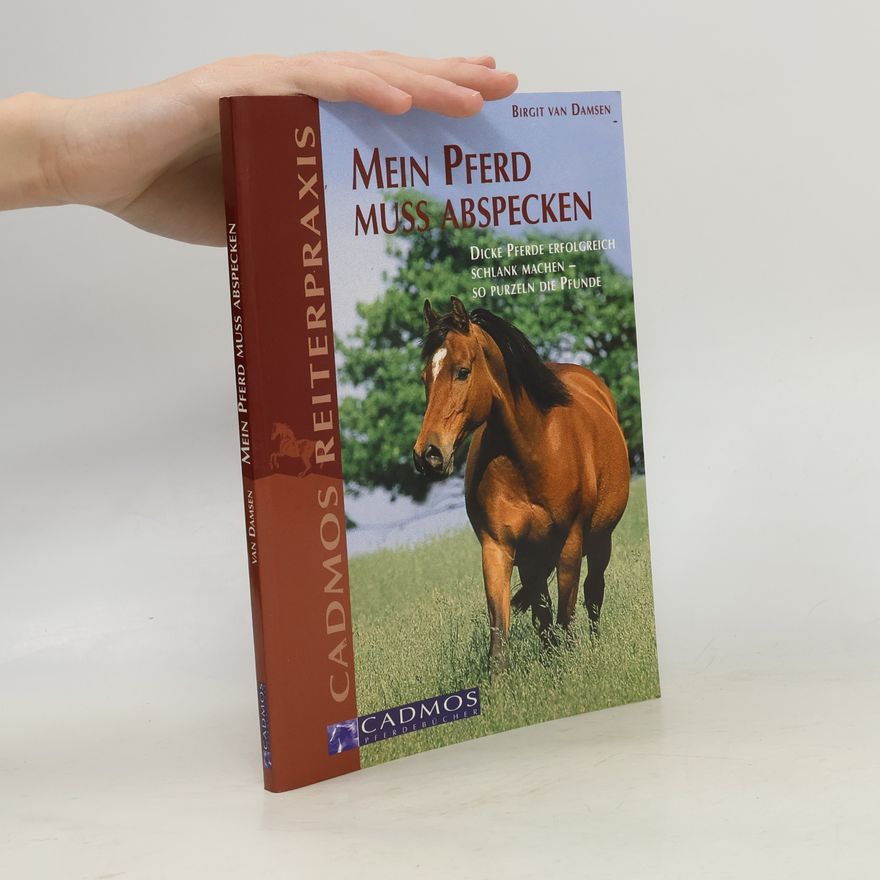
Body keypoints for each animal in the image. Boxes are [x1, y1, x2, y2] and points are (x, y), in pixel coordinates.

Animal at [412, 296, 631, 671]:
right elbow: (503, 640)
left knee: (593, 595)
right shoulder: (498, 548)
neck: (532, 452)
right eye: (426, 377)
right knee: (544, 615)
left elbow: (567, 620)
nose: (428, 455)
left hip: (600, 540)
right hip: (533, 560)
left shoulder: (569, 544)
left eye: (462, 371)